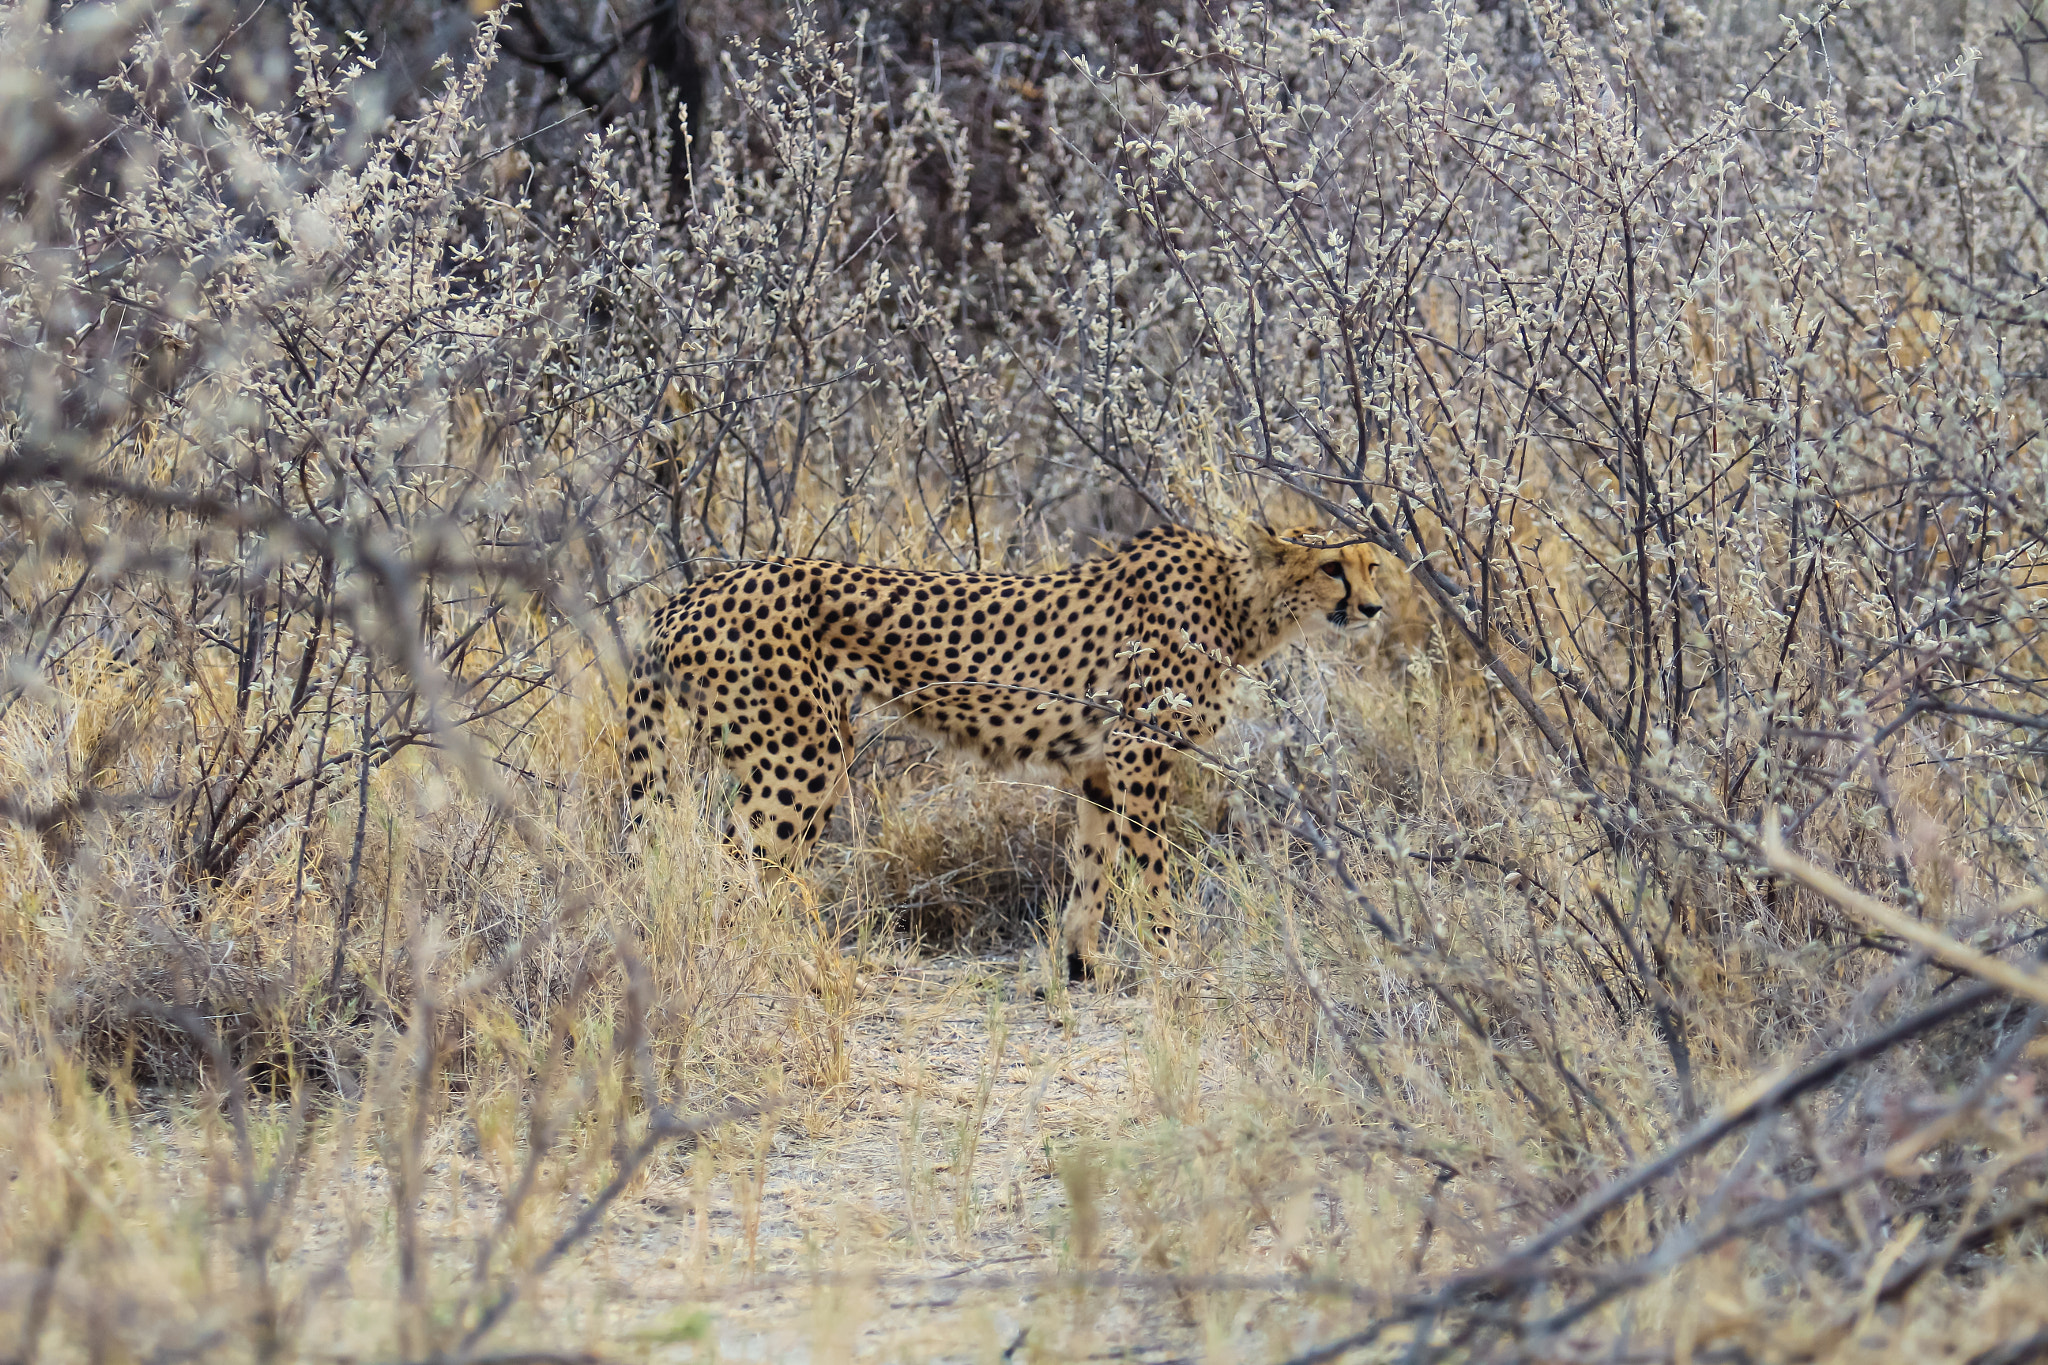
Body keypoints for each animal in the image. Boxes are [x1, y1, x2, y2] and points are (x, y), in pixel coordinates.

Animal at [622, 527, 1392, 982]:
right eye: (1333, 567)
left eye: (1372, 565)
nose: (1376, 608)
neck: (1243, 603)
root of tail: (688, 593)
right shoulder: (1140, 751)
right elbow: (1152, 867)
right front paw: (1173, 957)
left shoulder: (1099, 764)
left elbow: (1092, 864)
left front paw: (1082, 963)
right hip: (802, 754)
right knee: (728, 861)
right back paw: (770, 964)